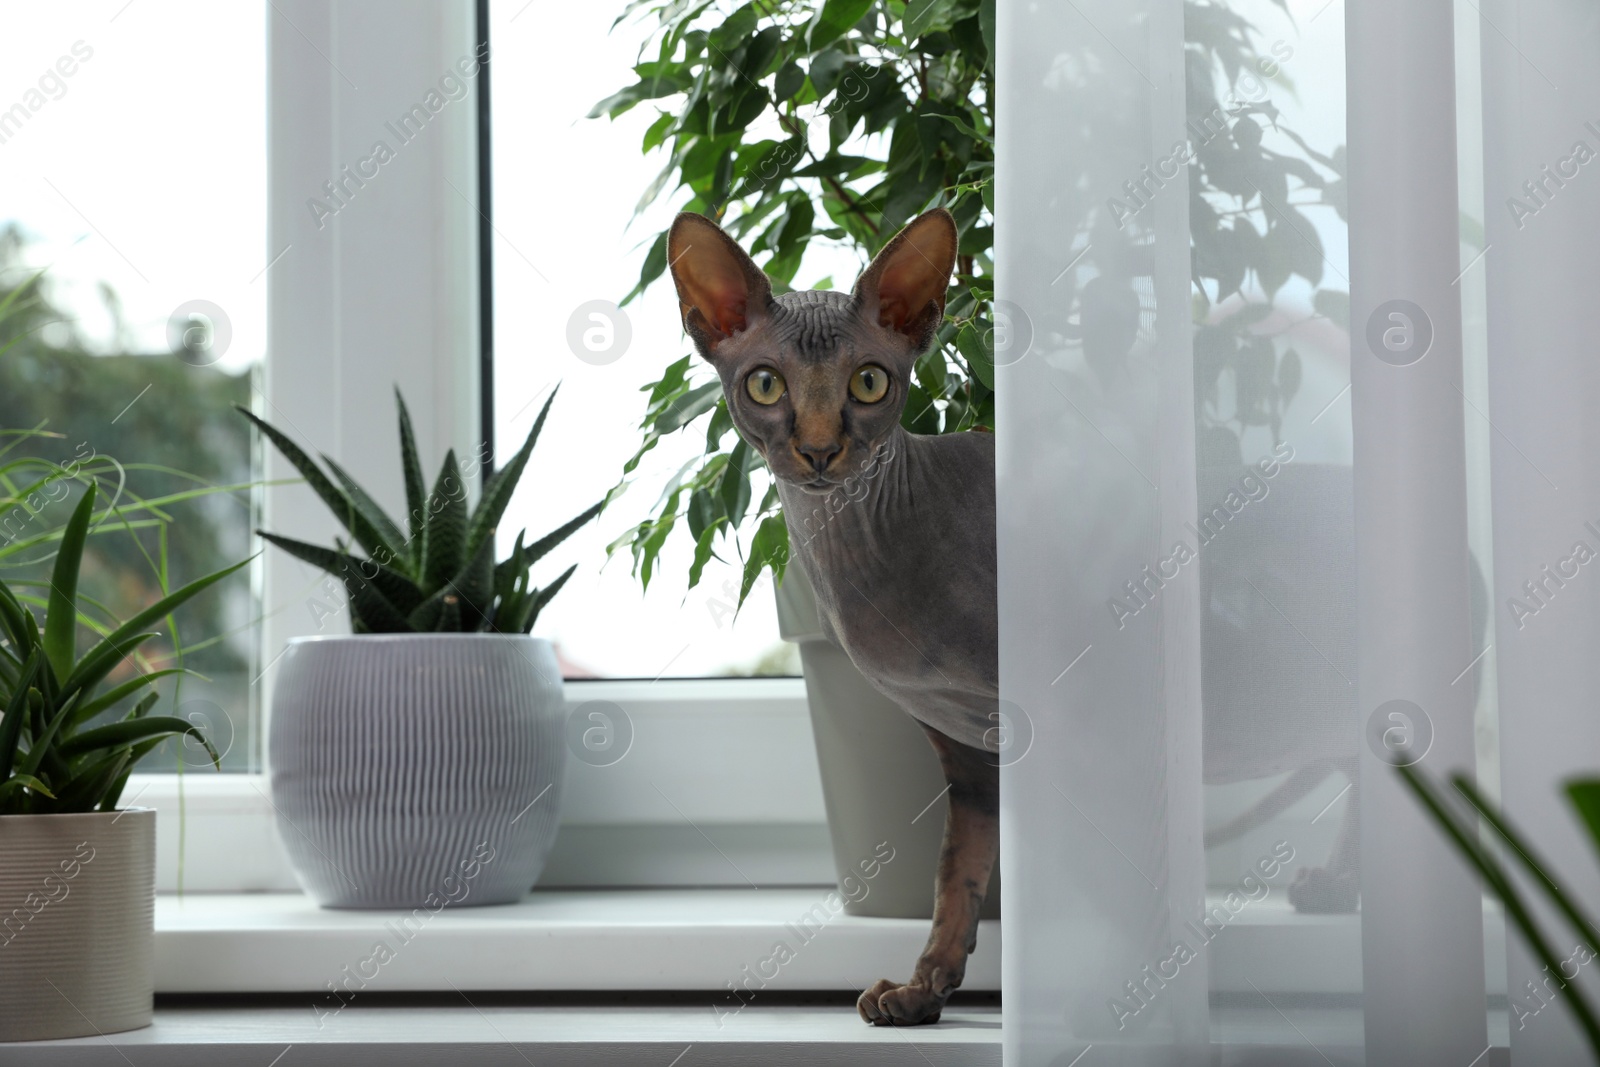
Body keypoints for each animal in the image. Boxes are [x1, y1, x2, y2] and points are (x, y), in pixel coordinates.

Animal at [662, 207, 985, 1023]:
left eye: (868, 381)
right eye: (765, 382)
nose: (816, 450)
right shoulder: (964, 744)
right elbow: (958, 871)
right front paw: (923, 988)